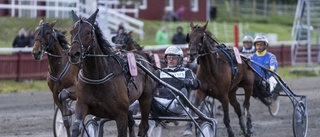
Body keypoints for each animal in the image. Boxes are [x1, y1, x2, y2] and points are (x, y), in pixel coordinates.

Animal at [68, 9, 157, 137]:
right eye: (72, 31)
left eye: (88, 32)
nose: (74, 54)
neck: (96, 78)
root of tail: (144, 58)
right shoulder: (81, 106)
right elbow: (75, 128)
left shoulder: (120, 115)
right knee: (132, 120)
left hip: (146, 99)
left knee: (143, 127)